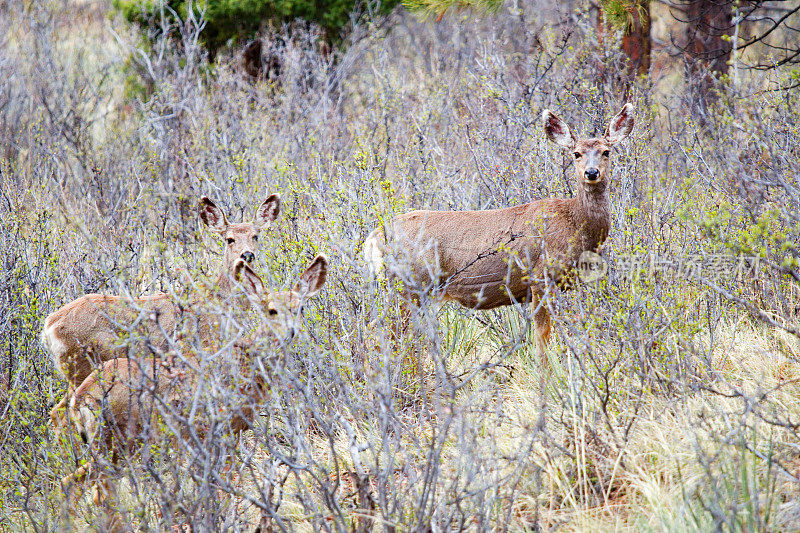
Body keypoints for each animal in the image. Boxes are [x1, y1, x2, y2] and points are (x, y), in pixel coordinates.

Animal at [44, 194, 282, 428]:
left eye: (255, 236)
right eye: (229, 239)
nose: (247, 255)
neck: (220, 303)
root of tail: (49, 327)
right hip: (81, 365)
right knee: (61, 411)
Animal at [58, 256, 328, 528]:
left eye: (299, 309)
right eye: (271, 309)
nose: (290, 332)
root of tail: (81, 398)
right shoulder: (220, 430)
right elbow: (222, 485)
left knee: (73, 484)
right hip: (117, 440)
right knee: (99, 494)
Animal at [366, 104, 636, 354]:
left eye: (606, 151)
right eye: (577, 153)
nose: (591, 172)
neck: (576, 225)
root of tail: (376, 235)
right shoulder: (541, 276)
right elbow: (543, 336)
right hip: (410, 284)